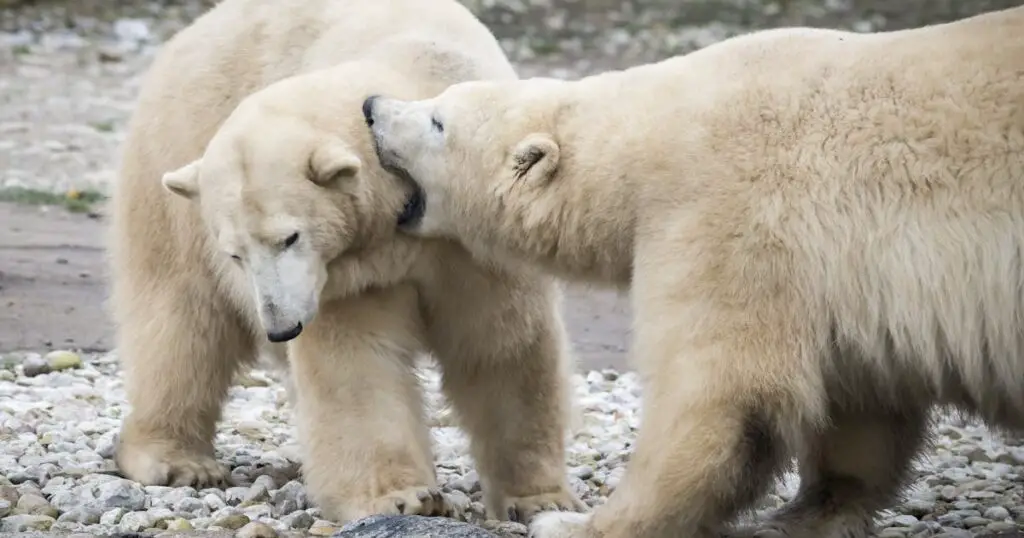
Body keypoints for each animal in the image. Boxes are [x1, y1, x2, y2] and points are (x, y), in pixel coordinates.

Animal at [108, 0, 585, 524]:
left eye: (289, 237)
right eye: (235, 254)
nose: (280, 327)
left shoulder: (472, 236)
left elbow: (502, 346)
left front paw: (539, 497)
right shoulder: (350, 275)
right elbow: (357, 363)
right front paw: (403, 497)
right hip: (171, 166)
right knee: (182, 321)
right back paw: (176, 461)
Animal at [364, 6, 1024, 536]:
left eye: (438, 121)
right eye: (434, 105)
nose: (371, 107)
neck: (644, 142)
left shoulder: (725, 214)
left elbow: (716, 393)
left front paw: (575, 521)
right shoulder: (844, 280)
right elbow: (861, 398)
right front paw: (803, 513)